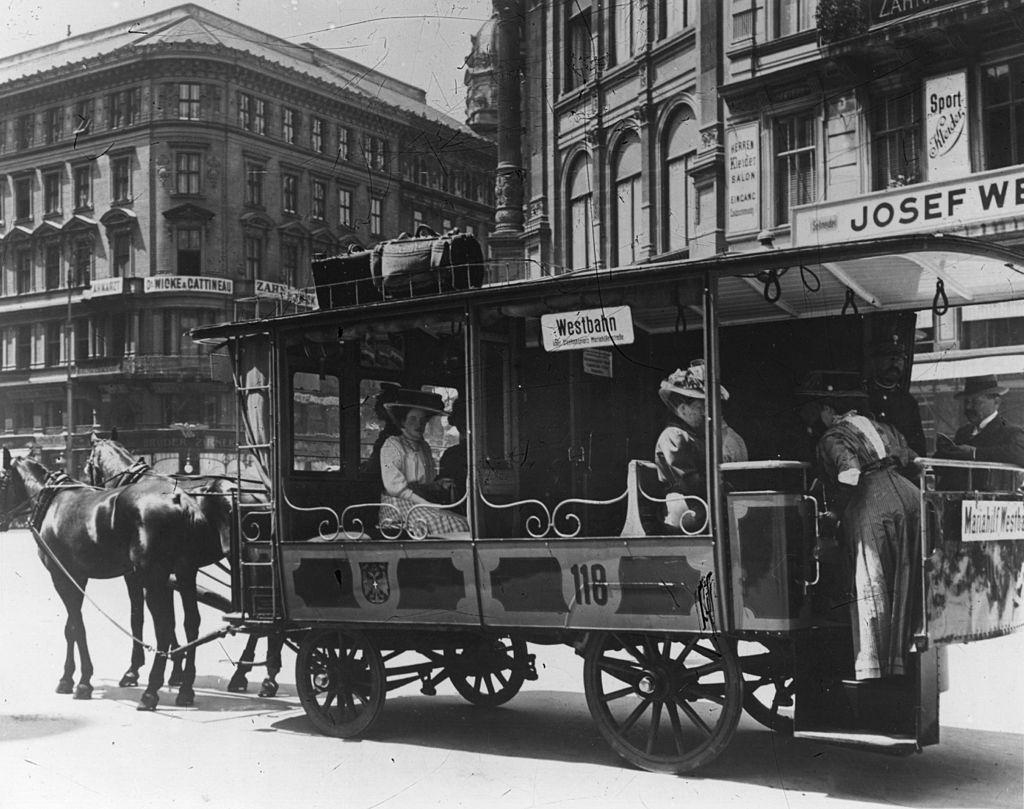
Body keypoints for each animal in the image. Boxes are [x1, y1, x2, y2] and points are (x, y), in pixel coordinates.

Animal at [0, 450, 207, 708]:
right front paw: (68, 677)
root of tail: (179, 499)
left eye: (1, 481)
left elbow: (77, 627)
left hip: (153, 577)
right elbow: (70, 627)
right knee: (191, 623)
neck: (52, 502)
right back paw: (186, 689)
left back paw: (151, 691)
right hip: (185, 572)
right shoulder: (77, 577)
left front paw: (82, 682)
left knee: (164, 627)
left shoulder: (63, 576)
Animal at [82, 436, 284, 696]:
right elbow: (172, 620)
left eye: (87, 465)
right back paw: (260, 672)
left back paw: (257, 673)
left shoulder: (137, 577)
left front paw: (135, 670)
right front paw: (177, 669)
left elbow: (139, 618)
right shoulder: (168, 574)